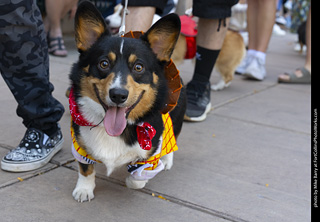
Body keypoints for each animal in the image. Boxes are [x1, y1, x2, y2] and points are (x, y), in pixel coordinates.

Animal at [69, 1, 186, 202]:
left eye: (138, 67)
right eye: (104, 63)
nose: (118, 95)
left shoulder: (150, 153)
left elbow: (136, 178)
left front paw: (134, 177)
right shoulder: (80, 144)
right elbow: (86, 168)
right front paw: (84, 189)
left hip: (176, 118)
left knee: (173, 138)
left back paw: (167, 160)